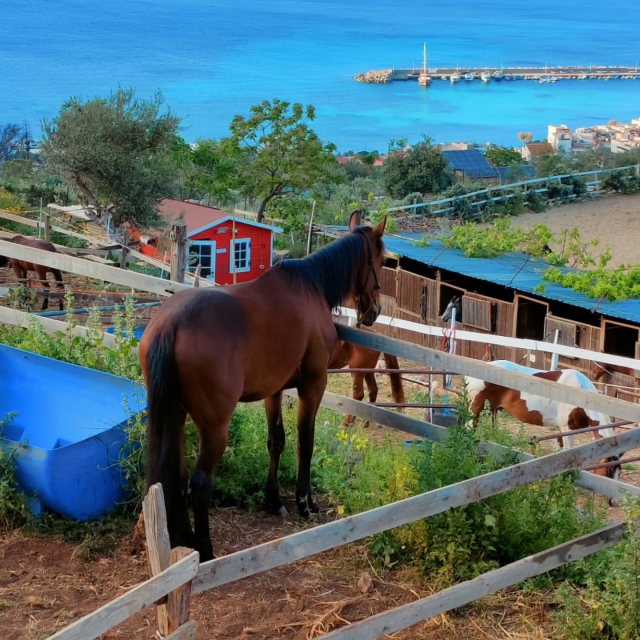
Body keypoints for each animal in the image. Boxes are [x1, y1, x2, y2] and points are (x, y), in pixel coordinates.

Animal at [139, 210, 387, 561]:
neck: (311, 288)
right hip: (214, 427)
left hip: (176, 415)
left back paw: (184, 540)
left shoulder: (274, 390)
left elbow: (276, 441)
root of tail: (172, 324)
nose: (373, 312)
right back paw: (206, 550)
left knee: (178, 476)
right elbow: (305, 442)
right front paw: (305, 503)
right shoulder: (313, 385)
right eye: (381, 260)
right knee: (200, 483)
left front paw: (272, 500)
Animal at [464, 360, 622, 482]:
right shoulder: (567, 429)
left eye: (619, 472)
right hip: (475, 413)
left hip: (492, 411)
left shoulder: (565, 430)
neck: (581, 396)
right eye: (609, 470)